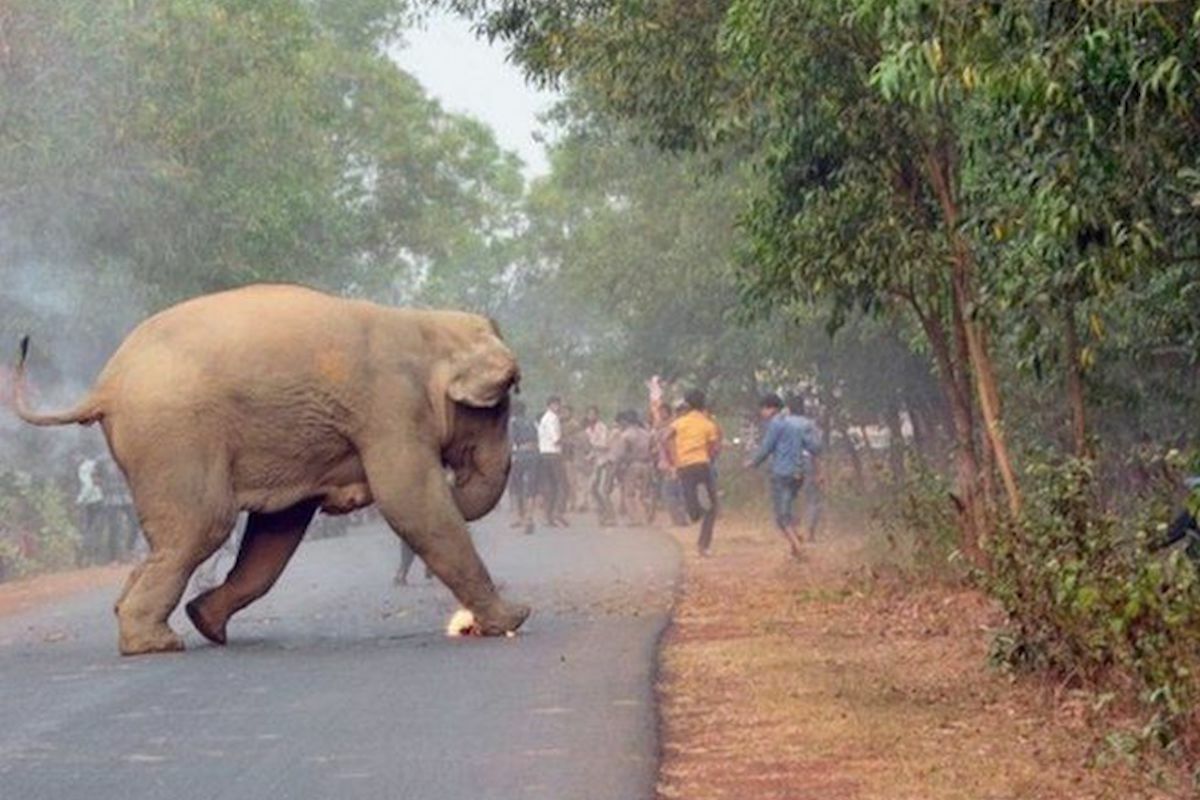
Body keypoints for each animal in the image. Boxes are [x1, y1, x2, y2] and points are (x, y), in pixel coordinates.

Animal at [11, 284, 529, 655]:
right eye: (501, 405)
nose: (457, 480)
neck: (425, 324)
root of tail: (106, 385)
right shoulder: (390, 410)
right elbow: (412, 503)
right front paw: (513, 619)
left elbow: (278, 530)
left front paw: (206, 619)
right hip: (175, 435)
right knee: (203, 527)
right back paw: (155, 645)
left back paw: (169, 625)